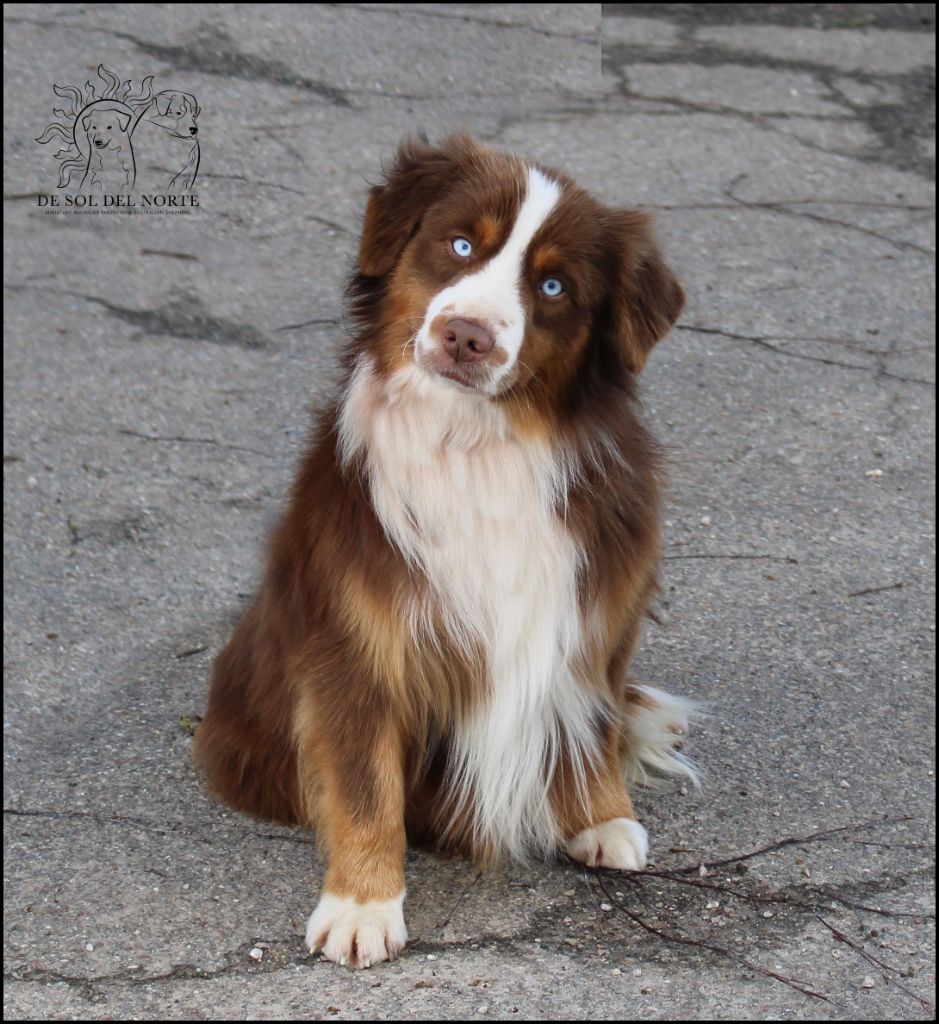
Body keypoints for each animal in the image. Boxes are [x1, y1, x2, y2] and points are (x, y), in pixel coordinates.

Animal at [194, 134, 696, 966]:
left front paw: (599, 816)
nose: (468, 335)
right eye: (460, 244)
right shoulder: (358, 644)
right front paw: (361, 908)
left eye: (553, 285)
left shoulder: (595, 612)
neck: (476, 446)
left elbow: (590, 719)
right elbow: (363, 782)